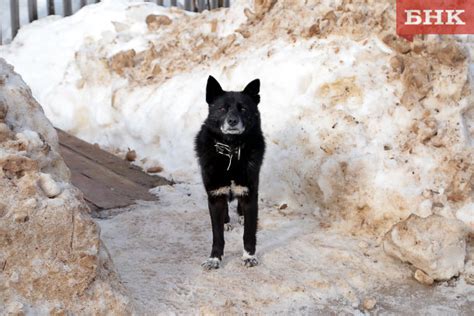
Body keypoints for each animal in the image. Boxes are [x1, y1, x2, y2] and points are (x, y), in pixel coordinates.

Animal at [194, 76, 264, 270]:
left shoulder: (249, 193)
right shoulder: (215, 196)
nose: (232, 121)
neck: (231, 150)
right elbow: (217, 235)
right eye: (222, 108)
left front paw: (249, 256)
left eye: (243, 109)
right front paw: (214, 259)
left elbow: (249, 233)